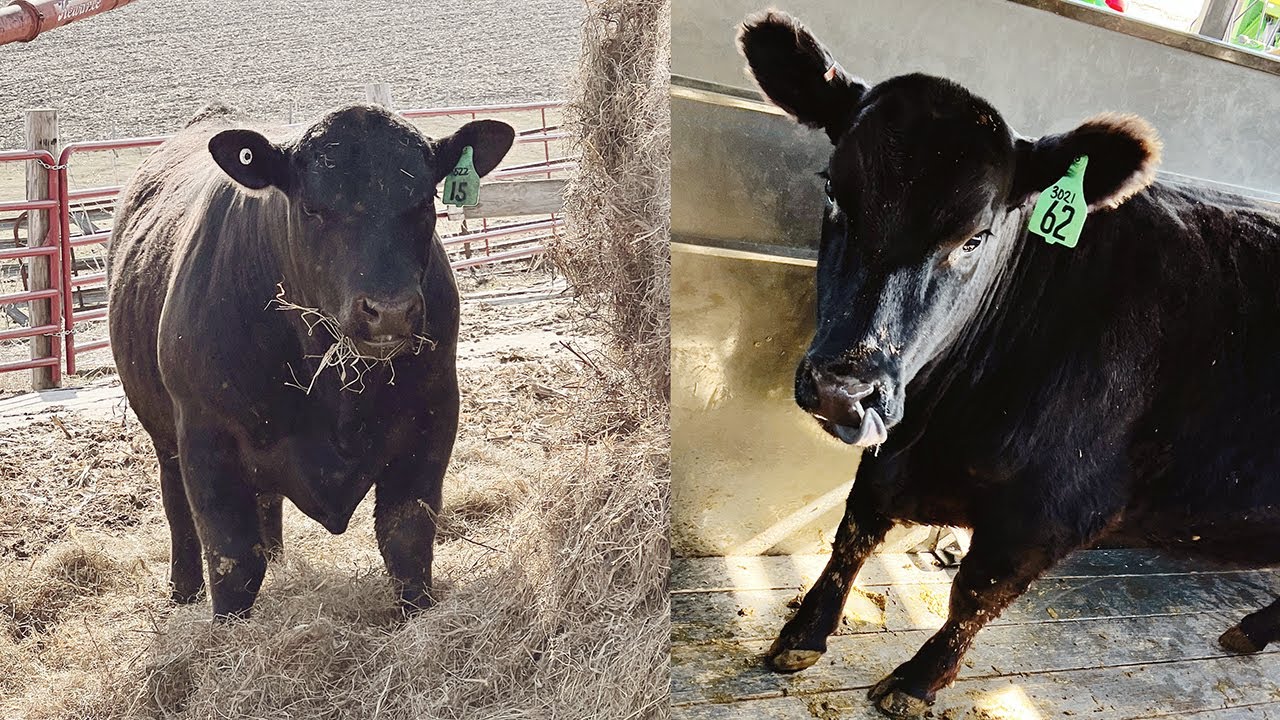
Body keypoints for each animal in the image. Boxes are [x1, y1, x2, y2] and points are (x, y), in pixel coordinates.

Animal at [107, 102, 514, 619]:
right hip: (163, 432)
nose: (390, 310)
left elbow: (407, 536)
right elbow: (232, 558)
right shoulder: (205, 434)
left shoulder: (434, 412)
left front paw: (417, 615)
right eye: (311, 208)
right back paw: (184, 590)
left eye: (425, 202)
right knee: (177, 504)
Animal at [738, 10, 1280, 718]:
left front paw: (916, 681)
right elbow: (854, 530)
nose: (842, 390)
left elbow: (975, 596)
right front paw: (803, 632)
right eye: (833, 190)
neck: (937, 422)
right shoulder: (889, 452)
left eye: (976, 237)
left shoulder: (1050, 512)